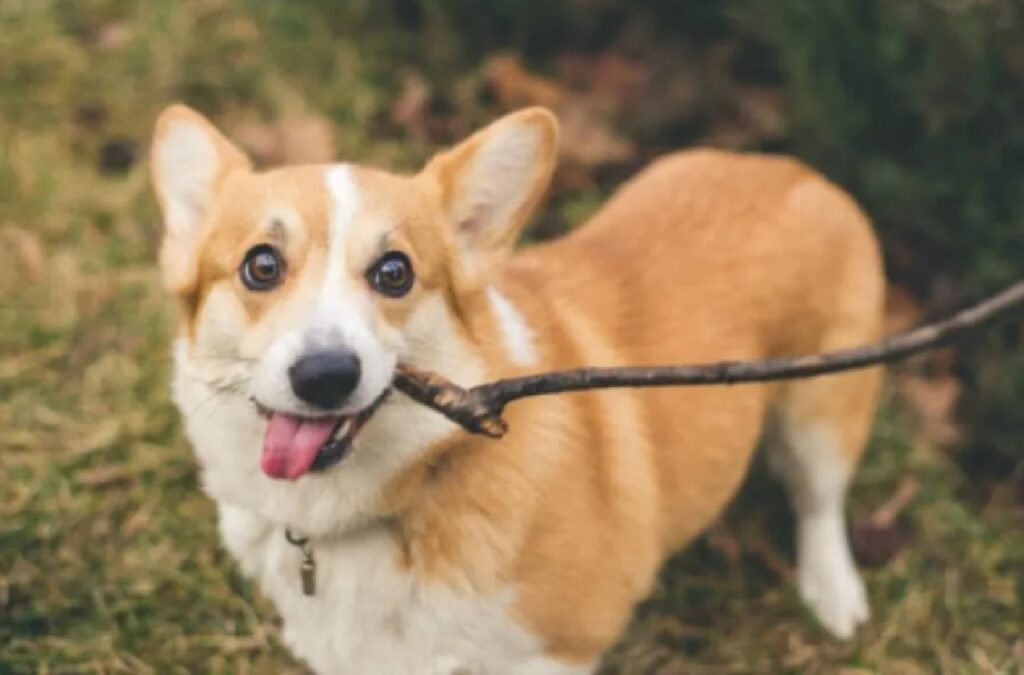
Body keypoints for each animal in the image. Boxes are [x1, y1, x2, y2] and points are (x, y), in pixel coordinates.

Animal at [148, 102, 884, 671]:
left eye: (394, 272)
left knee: (819, 500)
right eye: (261, 265)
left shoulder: (559, 648)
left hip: (821, 404)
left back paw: (833, 593)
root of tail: (792, 168)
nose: (326, 375)